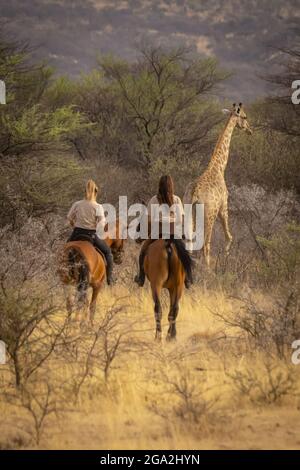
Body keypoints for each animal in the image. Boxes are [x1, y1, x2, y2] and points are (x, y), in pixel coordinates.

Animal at [184, 102, 252, 268]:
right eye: (245, 117)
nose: (250, 130)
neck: (219, 167)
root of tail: (194, 193)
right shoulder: (224, 206)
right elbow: (229, 236)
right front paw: (226, 256)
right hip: (209, 215)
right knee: (206, 244)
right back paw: (209, 269)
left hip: (188, 212)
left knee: (189, 242)